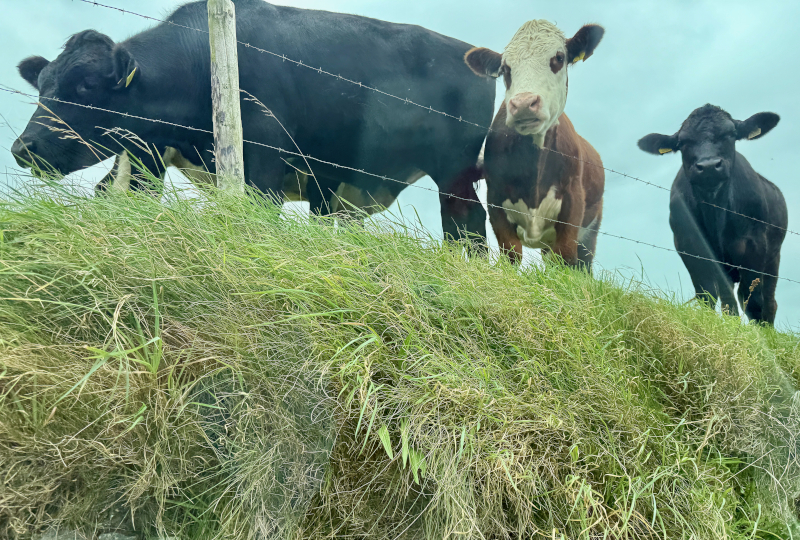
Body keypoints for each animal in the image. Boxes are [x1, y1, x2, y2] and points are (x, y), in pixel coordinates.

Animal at [10, 0, 494, 243]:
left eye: (86, 87)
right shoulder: (144, 153)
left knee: (467, 224)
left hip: (454, 171)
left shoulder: (263, 156)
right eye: (43, 86)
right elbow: (123, 195)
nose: (21, 148)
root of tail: (475, 52)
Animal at [463, 20, 605, 270]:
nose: (523, 104)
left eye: (559, 57)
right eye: (505, 69)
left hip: (590, 232)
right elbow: (511, 254)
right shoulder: (496, 201)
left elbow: (566, 258)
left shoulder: (573, 203)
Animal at [638, 104, 787, 324]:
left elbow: (753, 302)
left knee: (768, 302)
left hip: (772, 259)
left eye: (731, 134)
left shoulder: (754, 246)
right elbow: (709, 295)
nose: (708, 166)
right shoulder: (690, 247)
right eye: (683, 142)